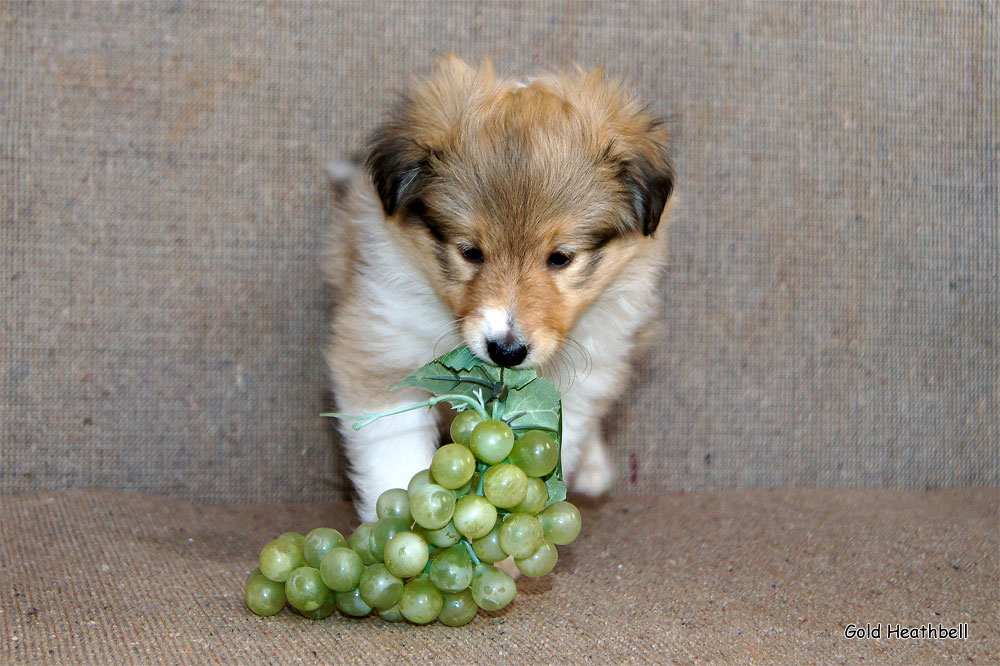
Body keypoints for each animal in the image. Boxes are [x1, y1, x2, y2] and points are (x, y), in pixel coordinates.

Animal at [324, 55, 676, 520]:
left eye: (560, 257)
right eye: (470, 252)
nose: (506, 352)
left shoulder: (575, 379)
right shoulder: (381, 343)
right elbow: (393, 455)